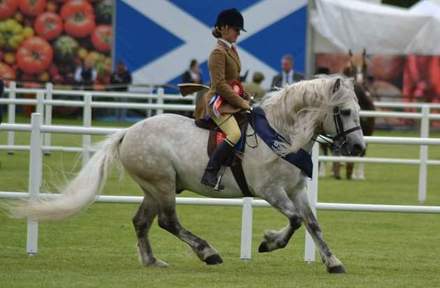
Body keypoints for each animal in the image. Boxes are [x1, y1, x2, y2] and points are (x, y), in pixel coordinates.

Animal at [9, 77, 364, 274]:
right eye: (345, 111)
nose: (359, 148)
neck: (280, 134)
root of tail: (127, 133)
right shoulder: (271, 191)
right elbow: (294, 221)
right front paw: (268, 243)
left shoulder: (296, 190)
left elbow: (312, 224)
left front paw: (333, 262)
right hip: (163, 184)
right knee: (168, 222)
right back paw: (208, 253)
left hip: (155, 188)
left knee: (142, 222)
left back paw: (152, 261)